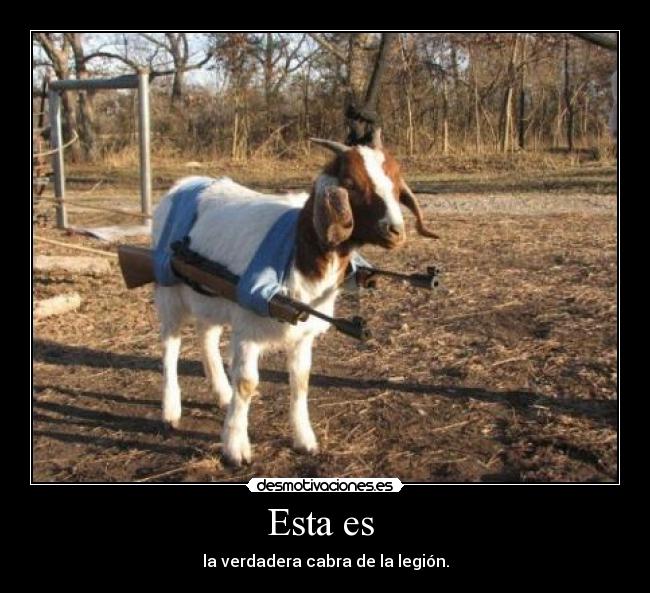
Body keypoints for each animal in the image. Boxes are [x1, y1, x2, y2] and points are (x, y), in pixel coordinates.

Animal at [151, 129, 436, 466]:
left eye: (395, 182)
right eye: (351, 183)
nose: (395, 231)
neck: (296, 250)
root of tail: (182, 184)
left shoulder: (303, 333)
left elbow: (301, 381)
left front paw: (305, 440)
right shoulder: (247, 328)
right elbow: (246, 383)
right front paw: (235, 448)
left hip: (209, 297)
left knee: (206, 335)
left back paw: (221, 394)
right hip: (168, 290)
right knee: (170, 346)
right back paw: (171, 411)